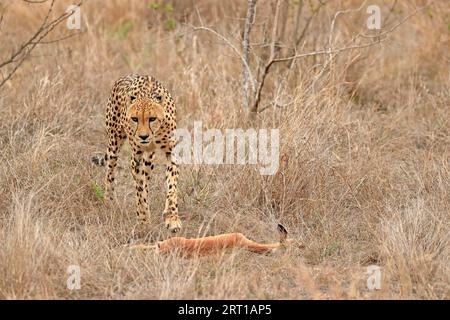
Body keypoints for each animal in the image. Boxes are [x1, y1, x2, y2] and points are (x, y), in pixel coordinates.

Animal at [91, 75, 181, 235]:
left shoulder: (170, 153)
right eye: (134, 119)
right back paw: (108, 200)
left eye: (152, 118)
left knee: (146, 178)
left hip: (149, 158)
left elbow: (172, 188)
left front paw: (172, 218)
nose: (143, 137)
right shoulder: (136, 159)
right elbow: (139, 193)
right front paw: (143, 222)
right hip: (114, 143)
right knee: (110, 172)